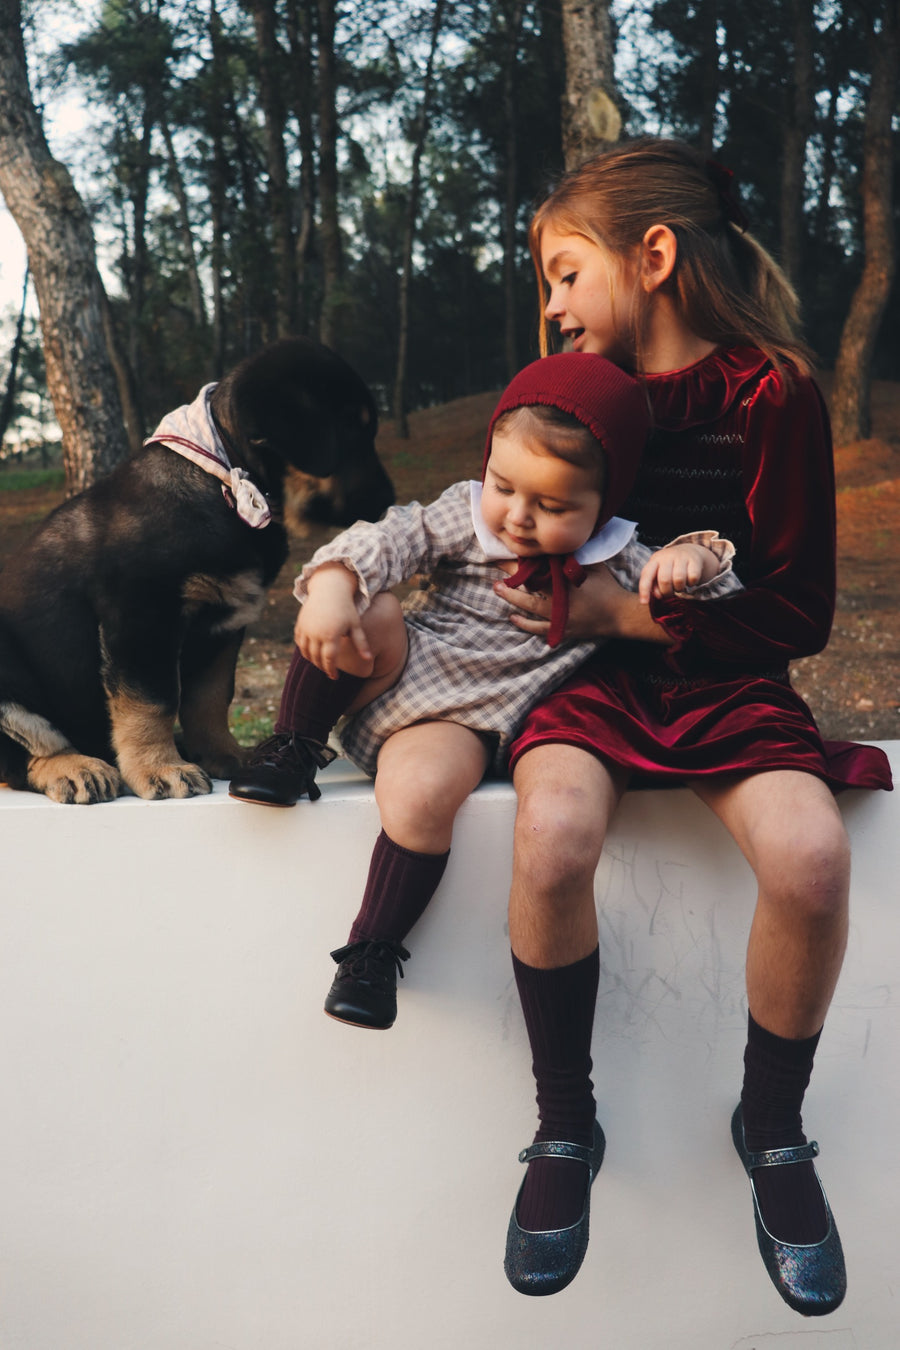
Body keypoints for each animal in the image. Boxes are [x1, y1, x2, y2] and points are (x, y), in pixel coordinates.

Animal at [0, 337, 394, 799]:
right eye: (351, 430)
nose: (388, 500)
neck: (225, 481)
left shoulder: (222, 627)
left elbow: (210, 698)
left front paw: (224, 754)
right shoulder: (142, 620)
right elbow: (152, 701)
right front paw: (161, 768)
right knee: (24, 757)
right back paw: (77, 768)